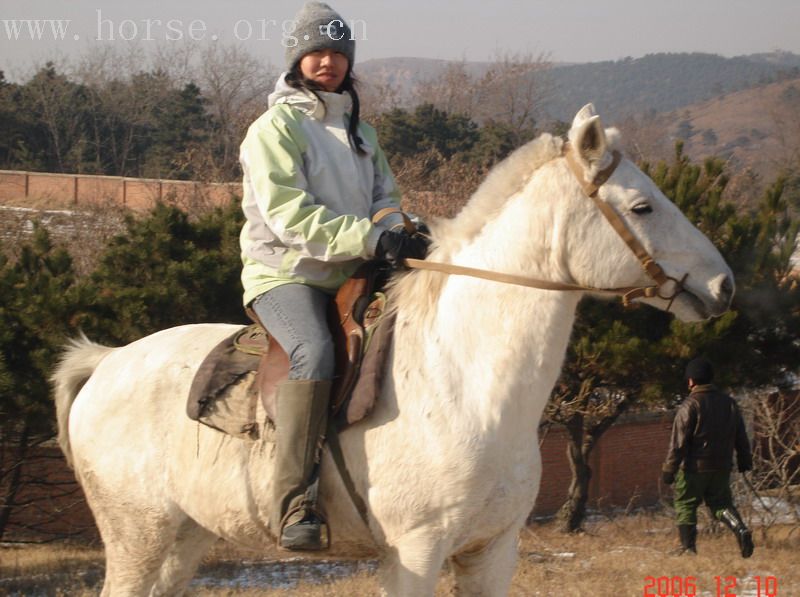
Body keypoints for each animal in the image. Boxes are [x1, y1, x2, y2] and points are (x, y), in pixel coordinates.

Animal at [54, 105, 732, 592]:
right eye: (642, 206)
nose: (722, 285)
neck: (465, 382)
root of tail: (107, 363)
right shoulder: (416, 552)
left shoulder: (491, 553)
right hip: (138, 541)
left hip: (183, 540)